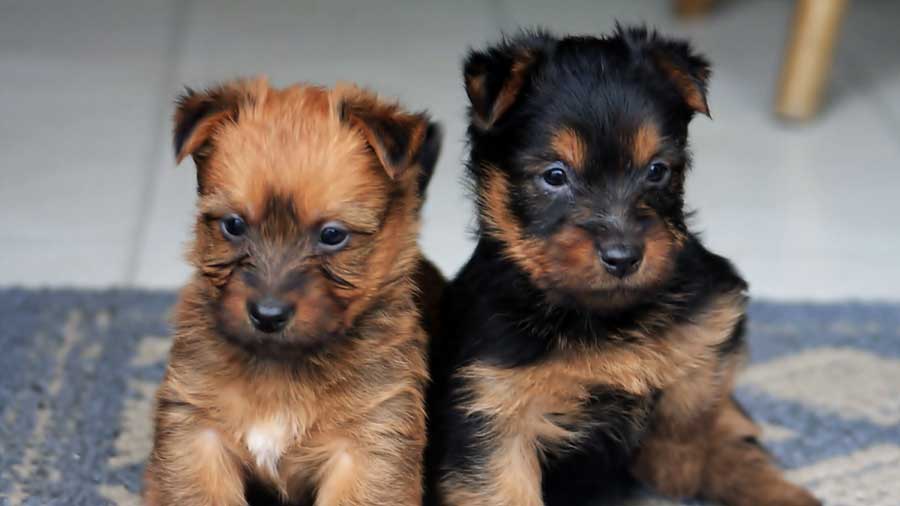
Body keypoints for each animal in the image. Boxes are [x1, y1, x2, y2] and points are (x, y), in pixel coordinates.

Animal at [142, 76, 444, 506]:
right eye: (234, 225)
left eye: (332, 235)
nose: (267, 316)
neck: (281, 367)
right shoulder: (197, 435)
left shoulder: (368, 443)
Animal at [426, 27, 820, 506]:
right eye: (554, 175)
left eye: (657, 170)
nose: (623, 257)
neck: (602, 315)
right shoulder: (494, 410)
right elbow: (505, 488)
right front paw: (674, 468)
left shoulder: (715, 306)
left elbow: (693, 384)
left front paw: (674, 467)